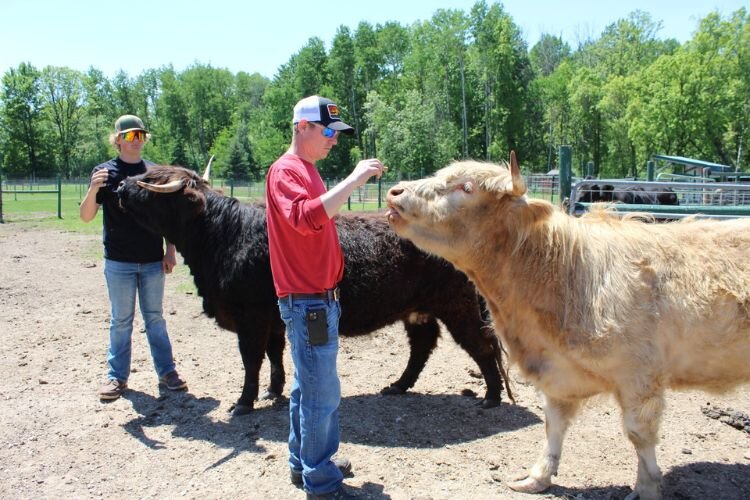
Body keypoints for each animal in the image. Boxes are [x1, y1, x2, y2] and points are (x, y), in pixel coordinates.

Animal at [116, 165, 512, 416]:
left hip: (457, 305)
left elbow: (251, 359)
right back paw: (398, 385)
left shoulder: (250, 317)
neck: (224, 236)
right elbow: (274, 355)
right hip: (418, 308)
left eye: (151, 182)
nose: (118, 188)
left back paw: (491, 396)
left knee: (481, 343)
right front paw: (273, 391)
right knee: (423, 345)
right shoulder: (272, 318)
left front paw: (243, 402)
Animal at [385, 153, 750, 499]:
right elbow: (553, 426)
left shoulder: (640, 377)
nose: (395, 191)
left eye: (466, 187)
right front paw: (537, 478)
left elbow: (639, 434)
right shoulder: (557, 373)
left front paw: (646, 488)